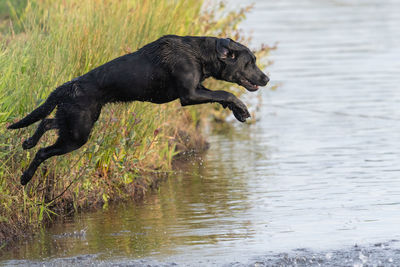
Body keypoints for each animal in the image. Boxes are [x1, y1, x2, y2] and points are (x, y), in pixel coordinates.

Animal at [7, 35, 268, 185]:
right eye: (249, 63)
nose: (266, 78)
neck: (197, 53)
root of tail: (66, 87)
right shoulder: (189, 95)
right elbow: (225, 93)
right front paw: (242, 108)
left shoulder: (198, 87)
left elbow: (221, 96)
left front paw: (238, 111)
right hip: (78, 134)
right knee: (43, 151)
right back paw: (25, 177)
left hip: (76, 122)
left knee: (47, 122)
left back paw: (28, 142)